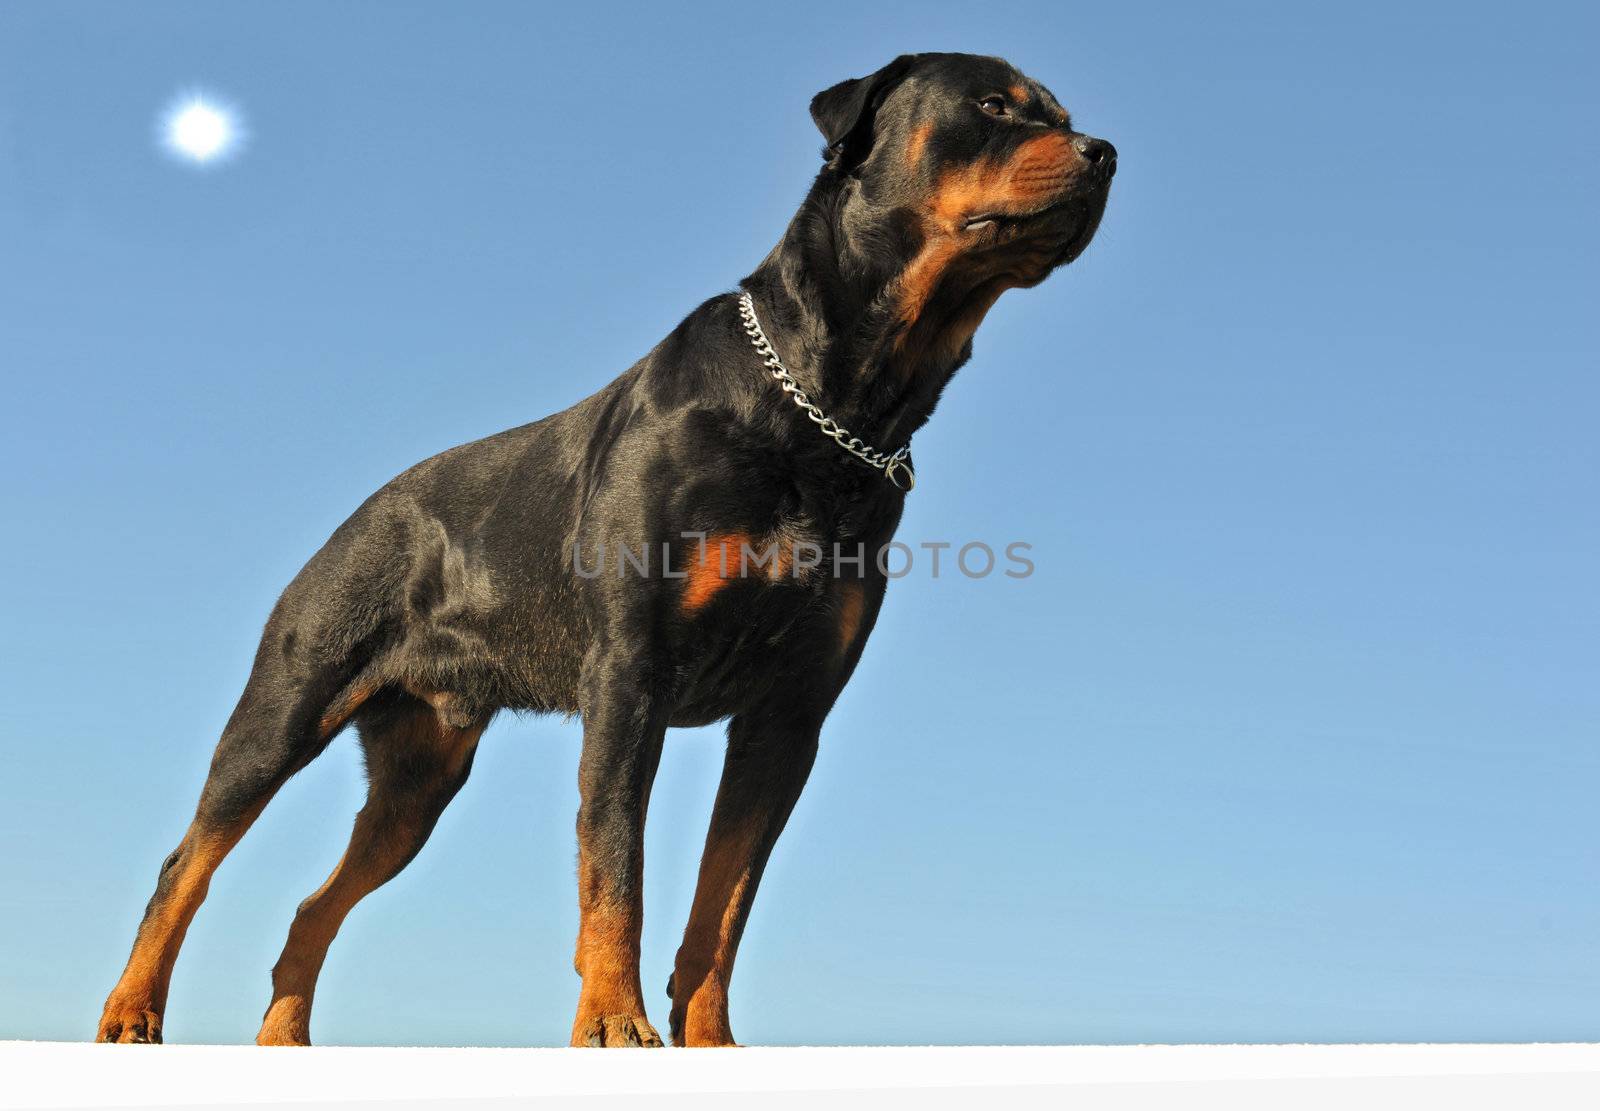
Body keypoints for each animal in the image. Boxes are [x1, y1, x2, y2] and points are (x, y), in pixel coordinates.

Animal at [96, 52, 1113, 1050]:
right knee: (188, 860)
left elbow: (724, 902)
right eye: (995, 106)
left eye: (1062, 113)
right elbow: (617, 866)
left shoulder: (789, 715)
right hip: (287, 705)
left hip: (422, 774)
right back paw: (132, 1011)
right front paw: (615, 1019)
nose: (1103, 152)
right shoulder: (631, 677)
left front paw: (710, 1041)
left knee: (318, 899)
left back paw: (284, 1040)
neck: (835, 399)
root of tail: (355, 518)